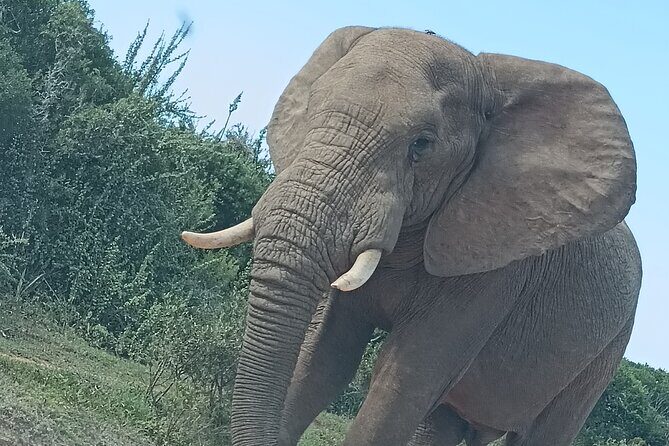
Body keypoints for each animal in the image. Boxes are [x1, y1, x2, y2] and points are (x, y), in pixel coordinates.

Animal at [181, 27, 641, 446]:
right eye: (311, 111)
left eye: (421, 145)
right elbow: (324, 358)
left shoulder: (496, 267)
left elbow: (401, 383)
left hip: (605, 354)